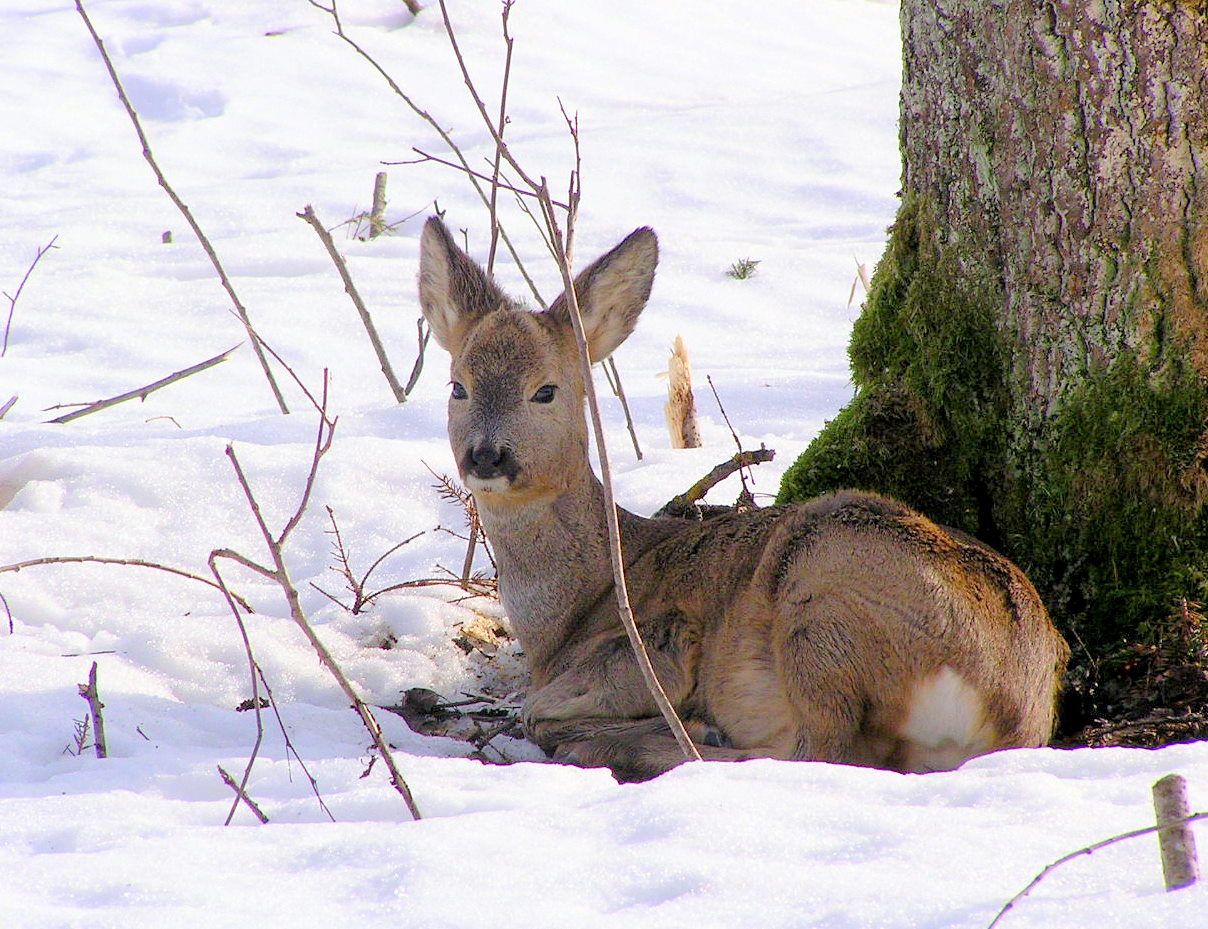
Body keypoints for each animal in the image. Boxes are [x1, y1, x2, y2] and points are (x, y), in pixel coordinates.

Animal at [420, 217, 1072, 782]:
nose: (486, 456)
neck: (578, 605)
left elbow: (536, 710)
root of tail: (1011, 702)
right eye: (458, 386)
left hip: (824, 592)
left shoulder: (656, 644)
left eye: (546, 391)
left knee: (825, 753)